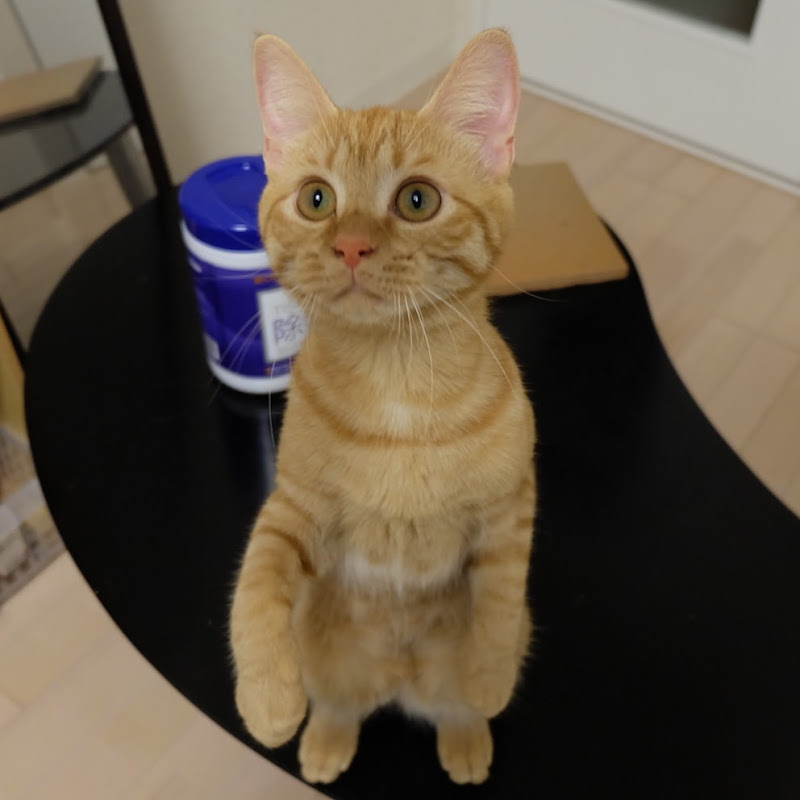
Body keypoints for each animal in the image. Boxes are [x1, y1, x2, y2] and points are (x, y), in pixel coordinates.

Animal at [229, 28, 536, 786]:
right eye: (316, 200)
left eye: (418, 200)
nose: (350, 245)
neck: (397, 383)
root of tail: (399, 681)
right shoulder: (293, 509)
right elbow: (255, 585)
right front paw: (267, 699)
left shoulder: (510, 510)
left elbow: (497, 602)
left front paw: (488, 678)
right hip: (329, 656)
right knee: (342, 702)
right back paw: (323, 740)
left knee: (455, 702)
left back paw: (467, 738)